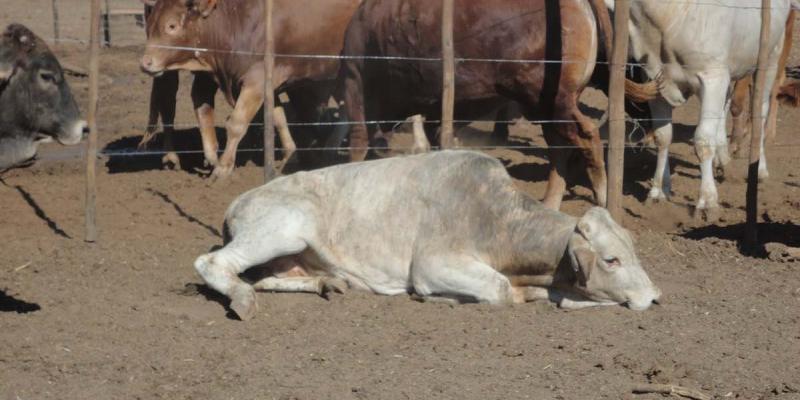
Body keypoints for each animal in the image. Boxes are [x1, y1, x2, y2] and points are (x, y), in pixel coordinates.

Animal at [141, 0, 360, 178]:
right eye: (149, 25)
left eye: (171, 25)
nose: (145, 63)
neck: (237, 23)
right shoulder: (267, 85)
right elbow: (277, 118)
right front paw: (289, 155)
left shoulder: (256, 80)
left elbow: (237, 123)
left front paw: (223, 168)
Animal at [195, 150, 664, 318]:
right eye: (611, 259)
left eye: (634, 252)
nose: (656, 296)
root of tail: (238, 201)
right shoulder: (432, 264)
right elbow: (496, 290)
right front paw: (441, 299)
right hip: (282, 229)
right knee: (212, 264)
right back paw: (242, 299)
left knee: (265, 277)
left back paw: (330, 283)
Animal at [338, 0, 656, 211]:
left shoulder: (355, 82)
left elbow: (358, 143)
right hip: (544, 106)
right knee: (561, 147)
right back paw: (550, 202)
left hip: (553, 100)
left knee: (586, 135)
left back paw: (602, 197)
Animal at [612, 0, 792, 220]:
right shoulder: (654, 80)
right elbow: (663, 137)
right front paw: (658, 191)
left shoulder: (712, 76)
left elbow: (703, 141)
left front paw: (707, 202)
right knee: (724, 106)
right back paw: (722, 159)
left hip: (770, 58)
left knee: (761, 111)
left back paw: (761, 169)